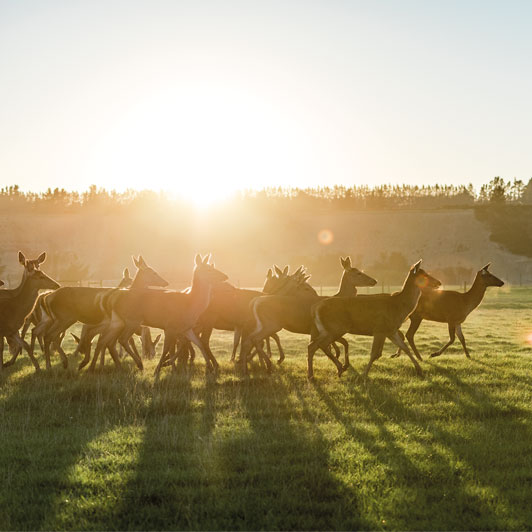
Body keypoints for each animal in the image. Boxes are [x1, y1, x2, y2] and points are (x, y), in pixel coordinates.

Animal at [39, 258, 167, 370]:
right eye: (153, 272)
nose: (166, 282)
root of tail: (47, 297)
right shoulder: (113, 325)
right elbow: (110, 342)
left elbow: (104, 342)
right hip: (66, 317)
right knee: (51, 335)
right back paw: (55, 364)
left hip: (61, 319)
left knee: (53, 336)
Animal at [91, 255, 227, 374]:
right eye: (208, 269)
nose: (225, 276)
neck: (190, 304)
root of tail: (111, 299)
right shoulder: (170, 326)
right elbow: (166, 349)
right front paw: (158, 369)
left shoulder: (186, 328)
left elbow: (198, 344)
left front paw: (210, 368)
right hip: (132, 320)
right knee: (121, 339)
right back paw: (138, 364)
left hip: (117, 321)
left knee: (107, 341)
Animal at [239, 255, 376, 374]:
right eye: (358, 273)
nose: (374, 281)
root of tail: (254, 302)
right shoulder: (317, 329)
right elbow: (321, 346)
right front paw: (338, 363)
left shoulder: (320, 330)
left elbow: (341, 343)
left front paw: (341, 361)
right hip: (272, 324)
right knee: (255, 339)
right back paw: (266, 364)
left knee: (250, 340)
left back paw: (248, 368)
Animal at [308, 260, 440, 378]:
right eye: (424, 275)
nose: (438, 282)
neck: (399, 307)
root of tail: (315, 308)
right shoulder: (379, 329)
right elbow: (374, 354)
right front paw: (364, 375)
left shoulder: (390, 331)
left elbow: (405, 348)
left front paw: (420, 370)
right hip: (336, 328)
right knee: (320, 345)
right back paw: (337, 369)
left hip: (326, 329)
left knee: (313, 345)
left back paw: (316, 374)